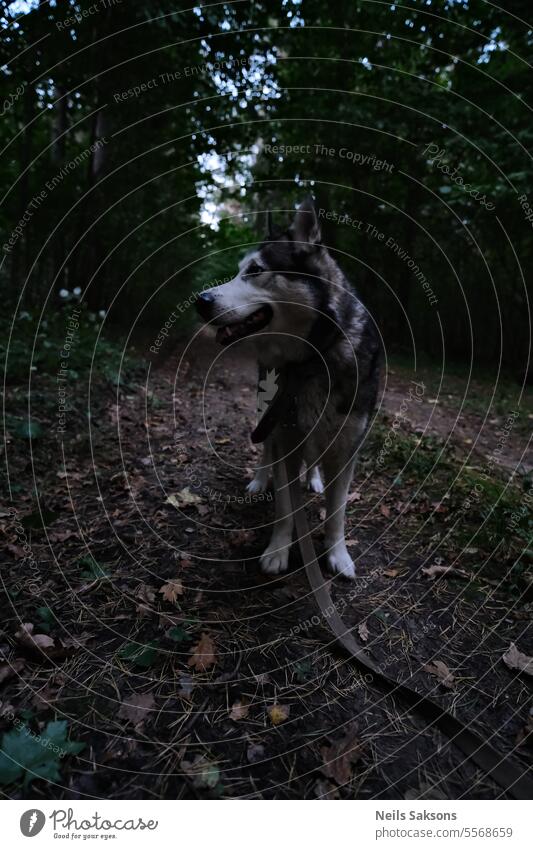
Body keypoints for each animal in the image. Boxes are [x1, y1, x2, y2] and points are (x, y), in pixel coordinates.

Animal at [194, 199, 378, 576]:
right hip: (267, 409)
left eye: (255, 270)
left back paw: (314, 478)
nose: (200, 300)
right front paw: (278, 550)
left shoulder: (347, 447)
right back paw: (260, 480)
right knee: (266, 447)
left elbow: (337, 512)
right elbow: (285, 507)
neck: (311, 359)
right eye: (238, 270)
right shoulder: (284, 433)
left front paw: (337, 554)